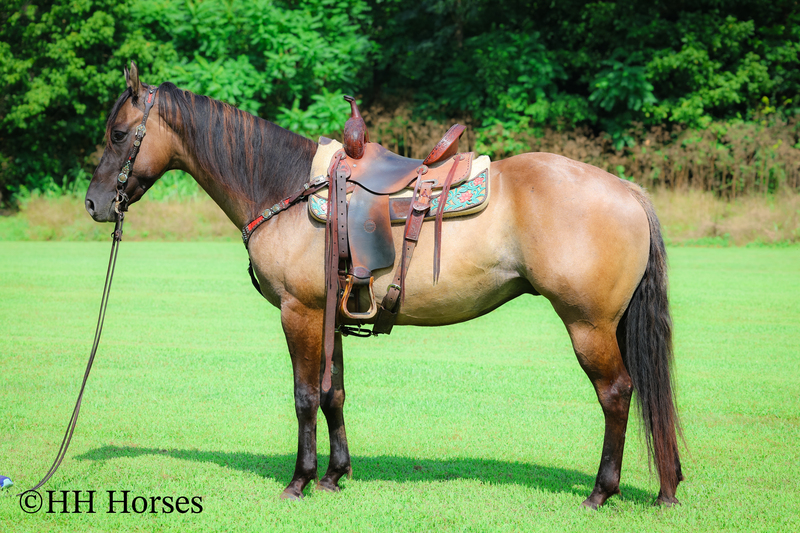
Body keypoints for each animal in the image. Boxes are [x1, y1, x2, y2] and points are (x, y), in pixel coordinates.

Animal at [85, 63, 683, 508]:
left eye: (118, 134)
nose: (94, 204)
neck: (286, 189)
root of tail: (627, 189)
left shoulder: (298, 313)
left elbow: (305, 395)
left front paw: (299, 481)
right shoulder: (332, 318)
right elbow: (334, 393)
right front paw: (334, 476)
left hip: (588, 324)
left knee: (616, 393)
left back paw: (601, 493)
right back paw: (666, 488)